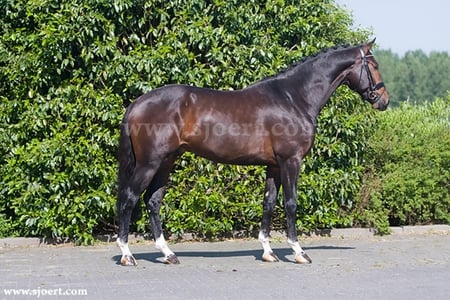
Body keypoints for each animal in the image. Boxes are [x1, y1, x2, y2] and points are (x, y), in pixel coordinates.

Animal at [118, 39, 388, 264]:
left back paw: (168, 254)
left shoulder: (274, 166)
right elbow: (290, 203)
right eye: (374, 65)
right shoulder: (291, 161)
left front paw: (268, 252)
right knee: (129, 199)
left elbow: (268, 203)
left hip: (166, 162)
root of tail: (137, 103)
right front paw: (299, 252)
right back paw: (127, 255)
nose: (384, 101)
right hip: (149, 163)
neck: (294, 98)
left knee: (153, 202)